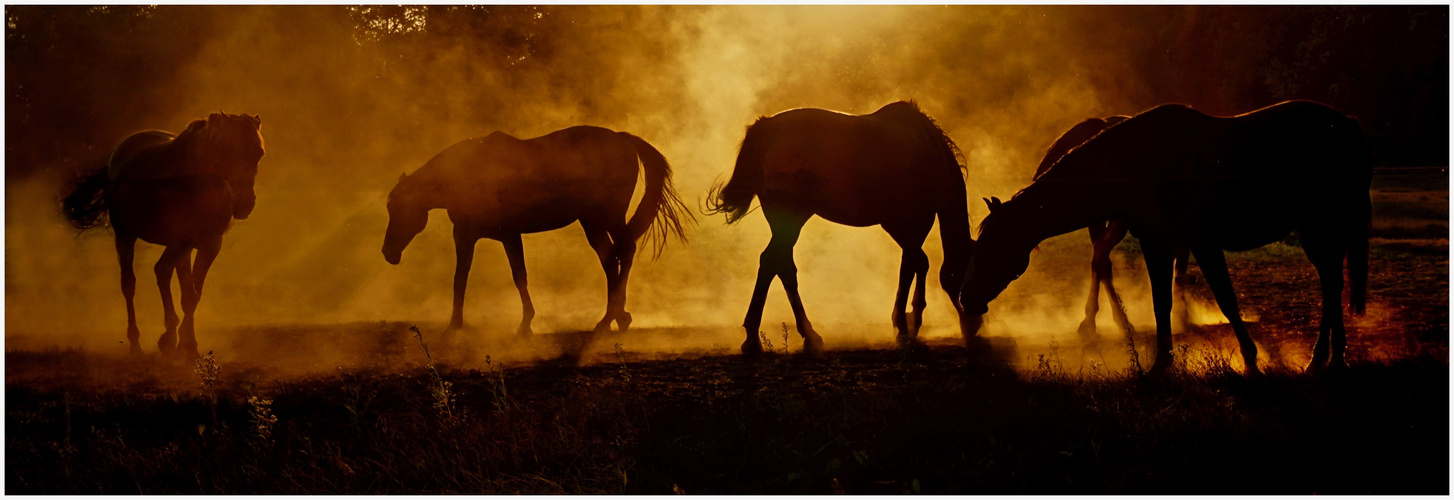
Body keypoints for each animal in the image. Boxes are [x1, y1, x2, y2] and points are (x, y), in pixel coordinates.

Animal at [61, 111, 267, 357]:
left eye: (259, 153)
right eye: (226, 150)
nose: (245, 204)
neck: (195, 181)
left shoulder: (208, 244)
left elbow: (191, 295)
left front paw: (188, 348)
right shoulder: (179, 241)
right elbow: (166, 276)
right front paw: (170, 340)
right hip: (125, 235)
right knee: (129, 284)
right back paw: (136, 344)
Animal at [380, 125, 686, 335]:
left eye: (398, 209)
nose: (387, 252)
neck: (468, 175)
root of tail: (622, 139)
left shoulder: (507, 234)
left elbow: (519, 277)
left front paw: (525, 324)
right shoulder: (468, 235)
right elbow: (461, 277)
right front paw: (454, 324)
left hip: (609, 217)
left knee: (625, 252)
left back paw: (615, 316)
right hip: (592, 223)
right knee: (611, 261)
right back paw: (612, 318)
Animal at [706, 99, 977, 353]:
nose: (974, 324)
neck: (930, 151)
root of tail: (767, 127)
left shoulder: (899, 226)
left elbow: (919, 263)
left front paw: (911, 321)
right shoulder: (913, 223)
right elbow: (912, 265)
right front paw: (904, 326)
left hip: (785, 223)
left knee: (780, 265)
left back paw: (791, 336)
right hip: (792, 219)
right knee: (773, 262)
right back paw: (771, 337)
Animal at [1035, 116, 1192, 343]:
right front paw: (1183, 314)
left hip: (1100, 220)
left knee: (1101, 261)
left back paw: (1103, 322)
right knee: (1101, 258)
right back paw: (1108, 322)